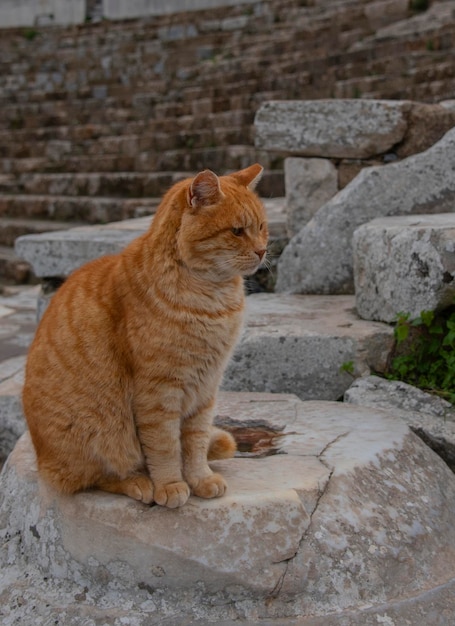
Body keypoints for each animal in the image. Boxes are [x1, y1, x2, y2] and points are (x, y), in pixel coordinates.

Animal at [22, 165, 268, 508]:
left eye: (261, 227)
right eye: (236, 232)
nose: (262, 251)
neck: (213, 298)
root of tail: (40, 457)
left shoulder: (206, 389)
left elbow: (195, 442)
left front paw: (200, 479)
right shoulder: (158, 391)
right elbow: (164, 445)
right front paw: (171, 484)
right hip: (99, 431)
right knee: (94, 477)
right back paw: (139, 483)